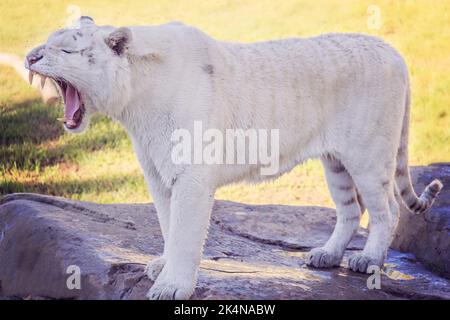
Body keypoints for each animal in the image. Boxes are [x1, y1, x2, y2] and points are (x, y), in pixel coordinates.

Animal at [25, 16, 442, 298]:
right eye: (46, 42)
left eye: (66, 50)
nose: (30, 56)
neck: (134, 103)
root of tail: (393, 52)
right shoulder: (158, 175)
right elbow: (167, 223)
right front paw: (162, 266)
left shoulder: (191, 176)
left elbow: (185, 232)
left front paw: (172, 286)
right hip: (335, 162)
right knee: (351, 210)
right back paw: (326, 255)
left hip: (368, 157)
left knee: (388, 209)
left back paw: (367, 261)